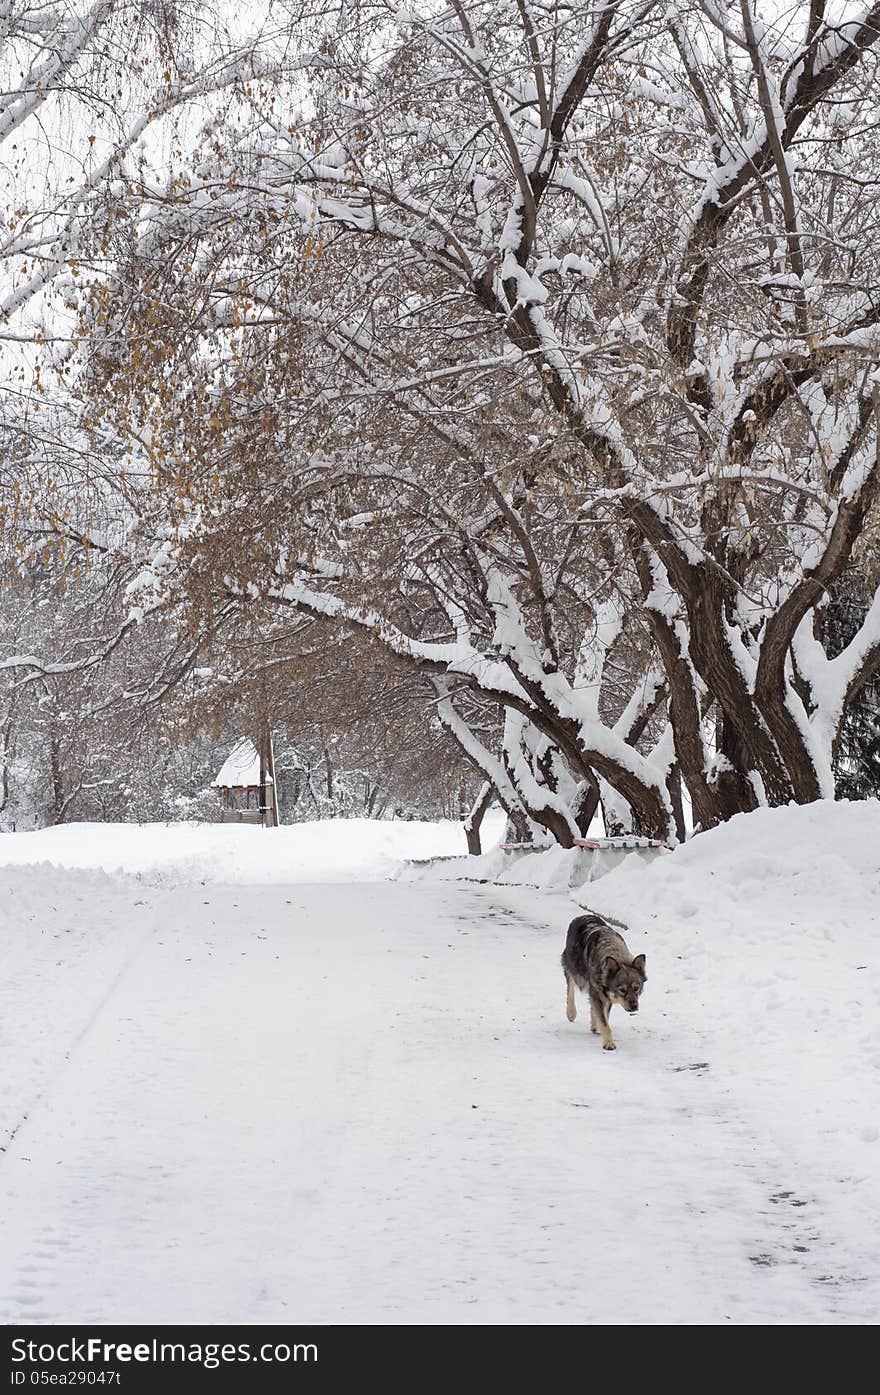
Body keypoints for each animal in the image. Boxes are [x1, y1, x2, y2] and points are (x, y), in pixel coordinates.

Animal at [563, 915, 647, 1049]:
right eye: (622, 990)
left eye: (636, 988)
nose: (634, 1007)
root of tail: (582, 916)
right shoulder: (598, 992)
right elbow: (604, 1022)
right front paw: (609, 1043)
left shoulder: (607, 995)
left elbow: (604, 1016)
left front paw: (598, 1028)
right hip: (573, 968)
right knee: (570, 987)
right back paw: (571, 1012)